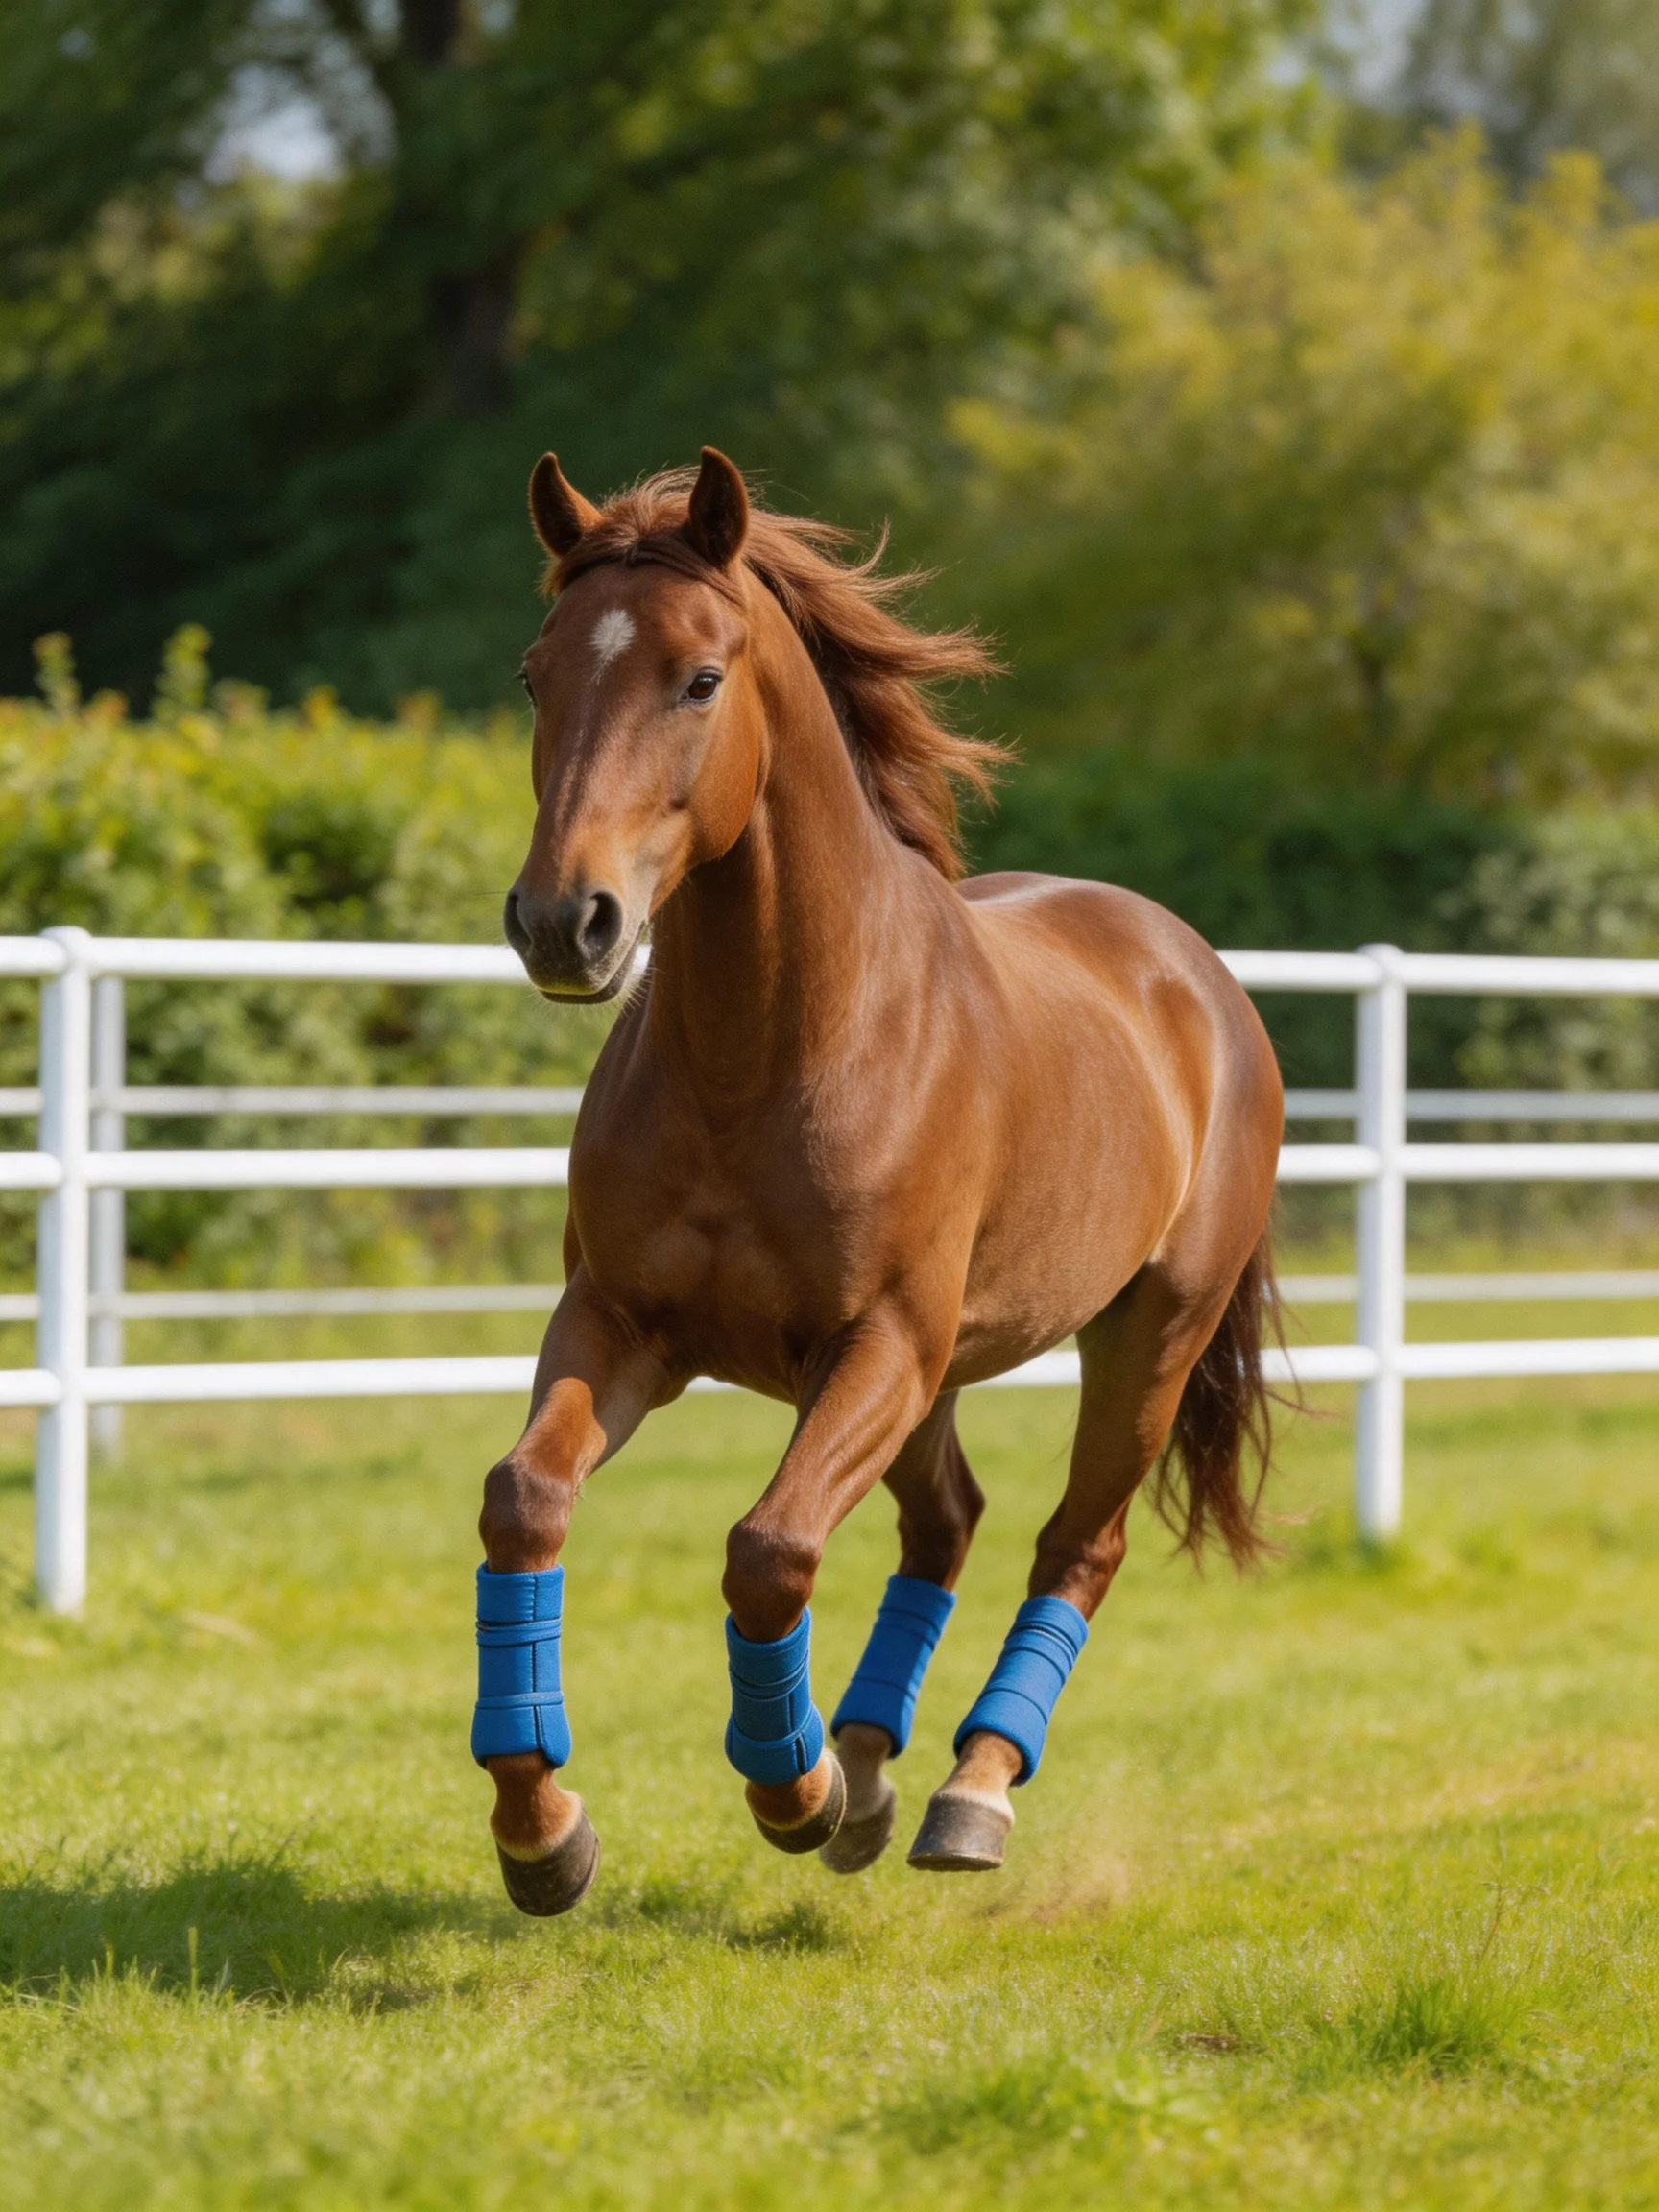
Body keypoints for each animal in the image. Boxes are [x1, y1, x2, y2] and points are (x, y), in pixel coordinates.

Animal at [470, 447, 1284, 1915]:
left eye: (700, 677)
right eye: (534, 672)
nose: (565, 924)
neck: (773, 1051)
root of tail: (1194, 973)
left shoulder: (877, 1346)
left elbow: (769, 1551)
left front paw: (786, 1787)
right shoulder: (620, 1326)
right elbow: (526, 1504)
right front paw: (542, 1825)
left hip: (1145, 1339)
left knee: (1074, 1546)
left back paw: (965, 1792)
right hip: (945, 1376)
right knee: (947, 1523)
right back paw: (868, 1765)